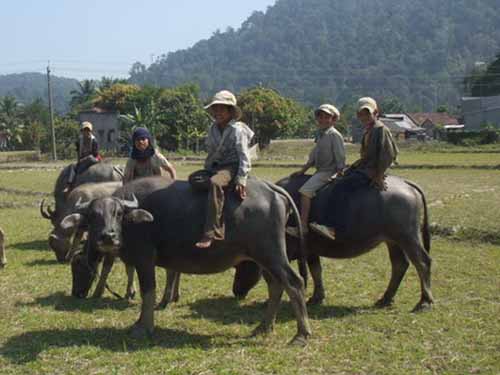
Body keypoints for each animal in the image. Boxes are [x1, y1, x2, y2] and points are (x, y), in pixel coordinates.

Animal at [62, 179, 310, 346]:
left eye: (119, 213)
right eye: (93, 216)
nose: (108, 236)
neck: (135, 221)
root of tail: (271, 189)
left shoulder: (145, 259)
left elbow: (148, 292)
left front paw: (145, 327)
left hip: (271, 254)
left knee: (294, 283)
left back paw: (301, 335)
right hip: (263, 258)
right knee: (276, 285)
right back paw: (263, 327)